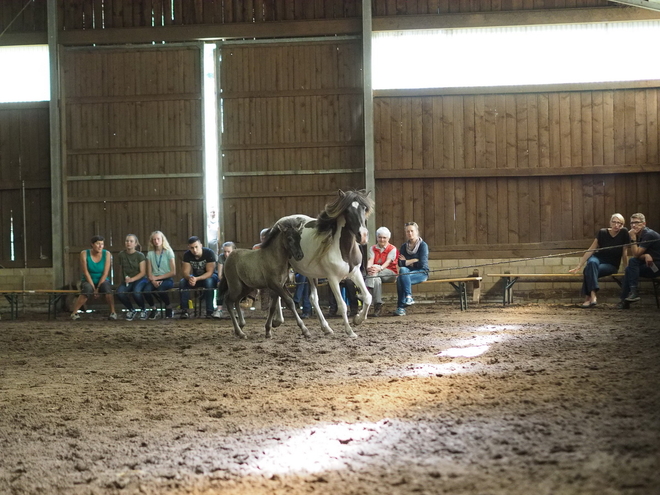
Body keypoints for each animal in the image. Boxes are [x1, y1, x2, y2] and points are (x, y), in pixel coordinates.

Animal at [286, 189, 374, 338]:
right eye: (347, 211)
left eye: (364, 208)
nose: (362, 236)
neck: (343, 250)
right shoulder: (333, 279)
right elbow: (342, 305)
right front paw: (350, 331)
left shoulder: (355, 273)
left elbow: (368, 297)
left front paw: (358, 320)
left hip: (311, 275)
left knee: (313, 298)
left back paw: (326, 328)